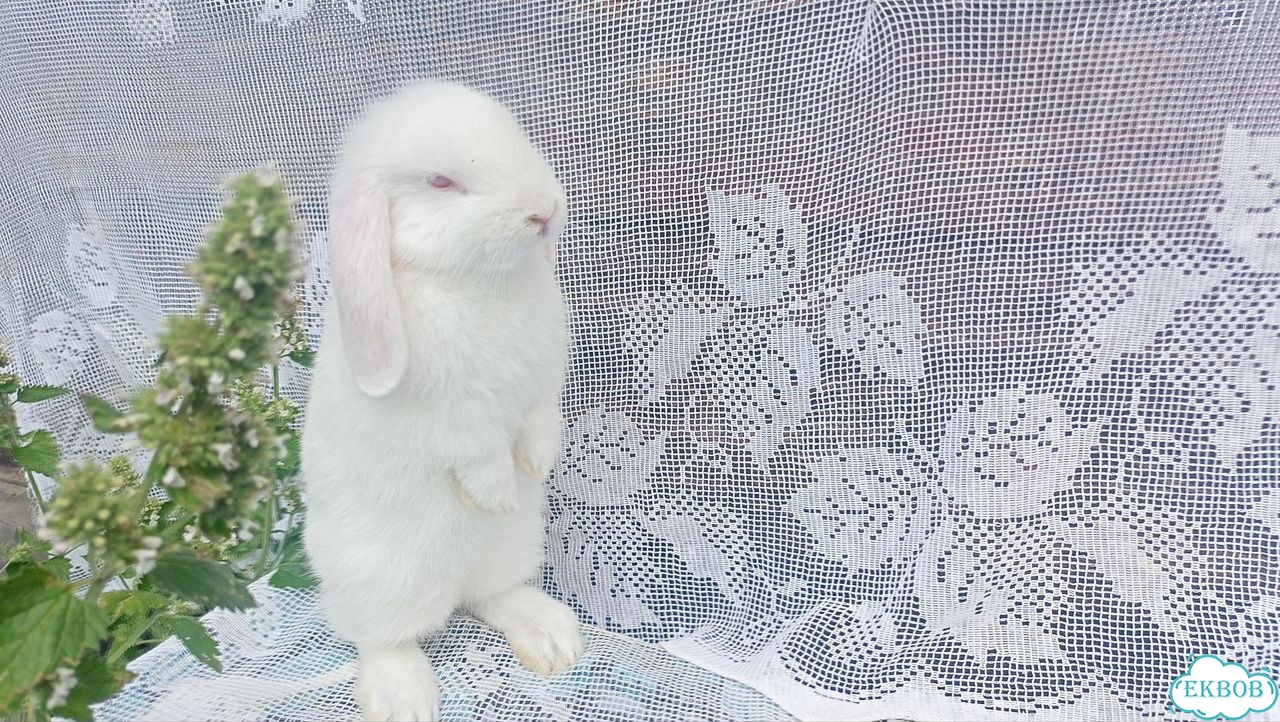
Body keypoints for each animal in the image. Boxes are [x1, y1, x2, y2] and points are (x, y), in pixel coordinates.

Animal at [301, 80, 583, 722]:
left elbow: (539, 418)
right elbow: (476, 449)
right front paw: (496, 492)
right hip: (380, 583)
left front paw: (538, 462)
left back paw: (554, 639)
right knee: (381, 639)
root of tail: (450, 585)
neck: (473, 279)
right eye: (441, 182)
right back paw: (402, 697)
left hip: (511, 550)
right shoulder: (451, 415)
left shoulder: (543, 379)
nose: (544, 211)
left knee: (490, 596)